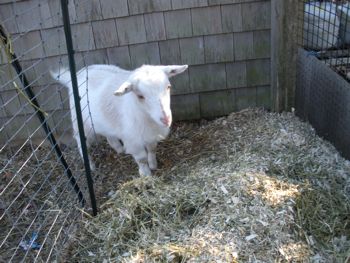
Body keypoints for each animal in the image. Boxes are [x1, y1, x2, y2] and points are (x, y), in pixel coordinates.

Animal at [51, 64, 187, 176]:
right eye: (140, 96)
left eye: (168, 87)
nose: (166, 119)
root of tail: (74, 76)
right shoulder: (133, 139)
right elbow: (141, 158)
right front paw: (146, 174)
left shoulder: (150, 135)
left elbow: (152, 149)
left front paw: (153, 165)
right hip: (80, 122)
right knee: (81, 142)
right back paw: (90, 165)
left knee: (109, 135)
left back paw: (119, 149)